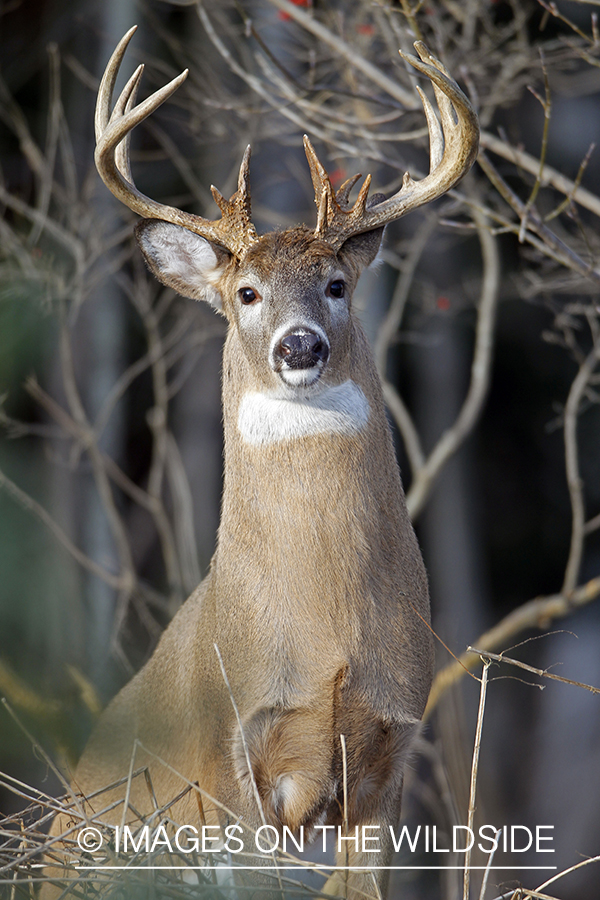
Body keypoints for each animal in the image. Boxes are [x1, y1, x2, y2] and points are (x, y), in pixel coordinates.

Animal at [48, 28, 478, 900]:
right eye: (246, 292)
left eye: (337, 284)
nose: (299, 345)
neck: (326, 633)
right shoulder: (232, 757)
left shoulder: (389, 750)